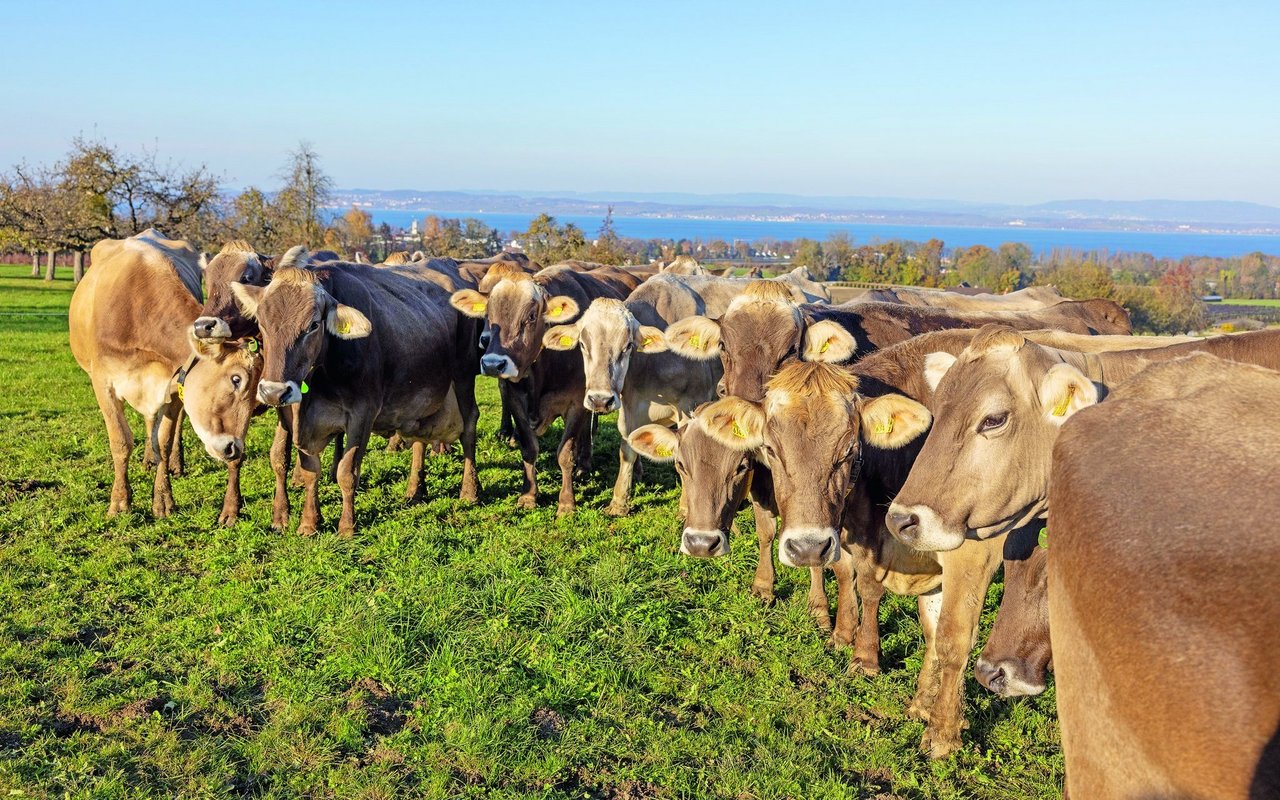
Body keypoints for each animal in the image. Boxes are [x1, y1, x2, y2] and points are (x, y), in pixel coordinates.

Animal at [69, 229, 203, 517]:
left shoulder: (173, 383)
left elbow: (164, 440)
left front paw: (163, 499)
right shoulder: (103, 383)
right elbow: (121, 441)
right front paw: (120, 502)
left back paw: (174, 463)